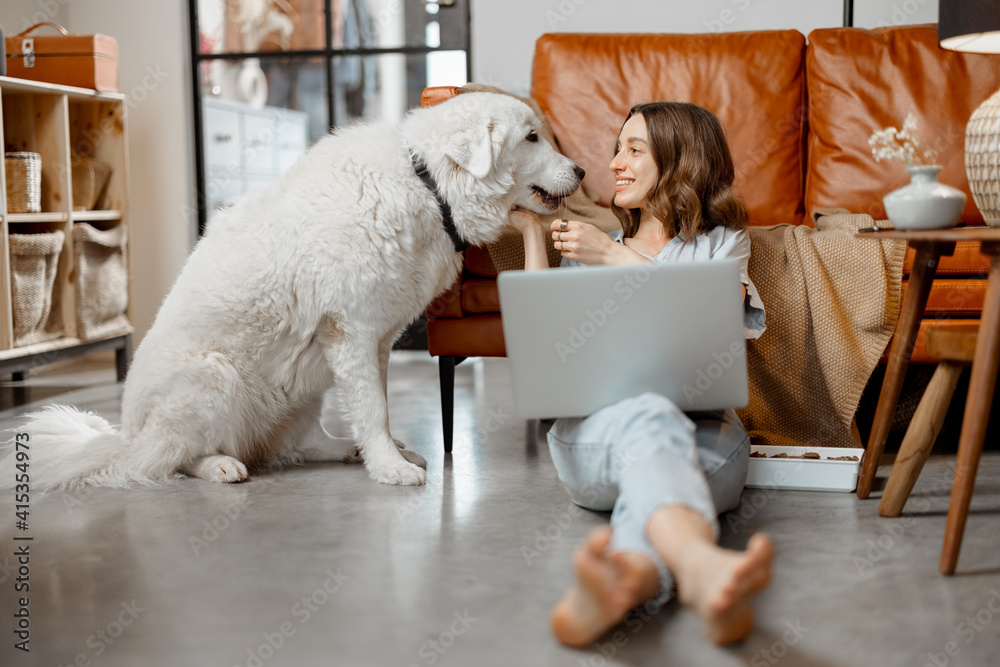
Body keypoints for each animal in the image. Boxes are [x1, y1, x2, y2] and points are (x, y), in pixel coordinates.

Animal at [5, 92, 584, 490]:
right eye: (532, 137)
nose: (580, 170)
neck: (428, 183)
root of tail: (124, 436)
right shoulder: (352, 333)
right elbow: (373, 409)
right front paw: (390, 469)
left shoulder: (374, 340)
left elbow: (376, 406)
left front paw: (385, 455)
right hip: (214, 378)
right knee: (168, 459)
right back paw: (219, 465)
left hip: (302, 391)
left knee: (299, 445)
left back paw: (341, 450)